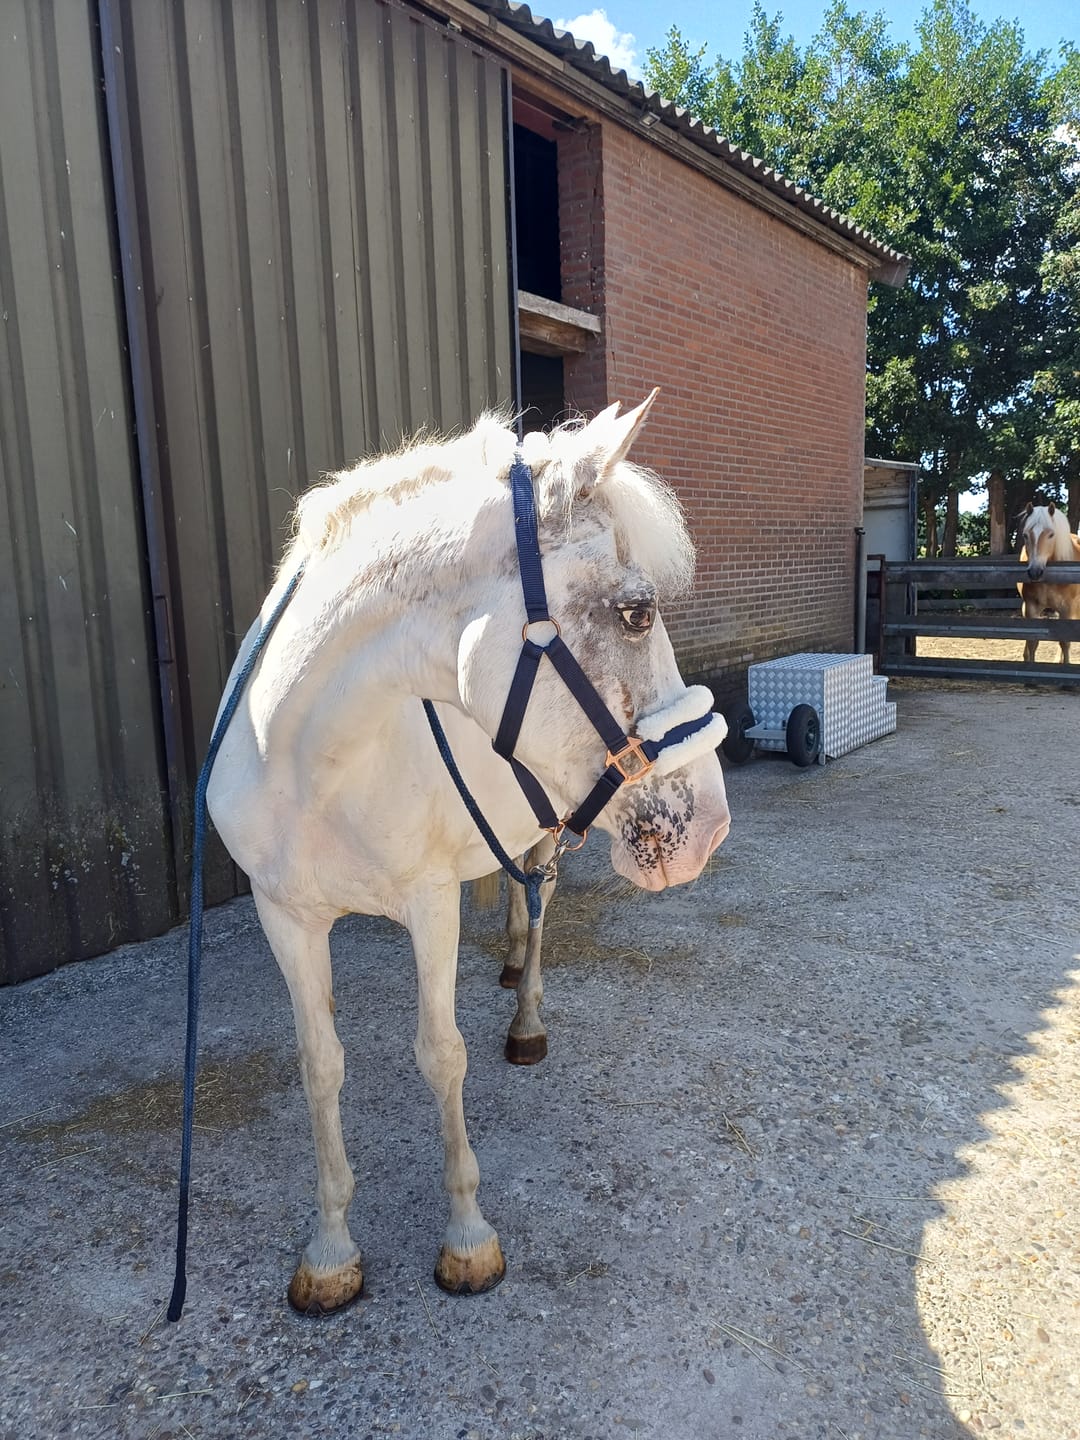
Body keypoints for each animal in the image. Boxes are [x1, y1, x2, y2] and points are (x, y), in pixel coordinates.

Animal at [204, 394, 731, 1315]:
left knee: (540, 903)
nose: (711, 823)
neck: (305, 759)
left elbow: (440, 1055)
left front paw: (467, 1238)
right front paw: (331, 1250)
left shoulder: (430, 904)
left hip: (553, 830)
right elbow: (320, 1066)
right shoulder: (286, 917)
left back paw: (526, 1018)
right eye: (636, 612)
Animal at [1018, 502, 1080, 664]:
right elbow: (1032, 642)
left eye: (1051, 534)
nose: (1035, 572)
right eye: (1025, 535)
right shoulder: (1031, 607)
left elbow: (1065, 641)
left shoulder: (1067, 609)